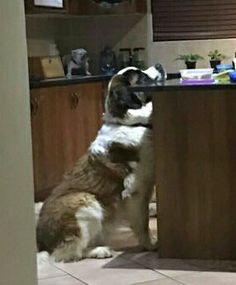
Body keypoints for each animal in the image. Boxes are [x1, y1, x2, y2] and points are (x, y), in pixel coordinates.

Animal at [36, 62, 166, 262]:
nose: (159, 65)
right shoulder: (136, 191)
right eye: (141, 76)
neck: (130, 124)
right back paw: (99, 251)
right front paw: (151, 244)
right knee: (70, 253)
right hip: (85, 201)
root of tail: (42, 243)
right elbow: (142, 222)